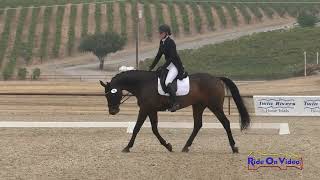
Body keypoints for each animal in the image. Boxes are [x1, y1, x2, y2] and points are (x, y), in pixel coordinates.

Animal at [100, 70, 250, 153]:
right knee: (198, 125)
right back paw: (185, 147)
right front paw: (168, 146)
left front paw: (127, 147)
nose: (113, 111)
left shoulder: (145, 109)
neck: (143, 84)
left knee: (225, 123)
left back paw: (234, 147)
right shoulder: (151, 110)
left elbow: (137, 128)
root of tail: (217, 78)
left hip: (214, 106)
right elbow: (154, 129)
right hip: (198, 105)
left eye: (112, 94)